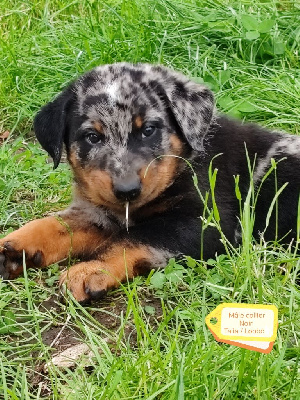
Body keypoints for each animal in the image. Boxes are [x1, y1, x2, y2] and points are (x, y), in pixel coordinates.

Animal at [0, 62, 300, 302]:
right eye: (92, 137)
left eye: (148, 130)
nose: (127, 190)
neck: (183, 163)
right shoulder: (100, 213)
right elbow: (54, 225)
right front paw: (10, 248)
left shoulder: (208, 223)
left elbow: (132, 239)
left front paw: (89, 269)